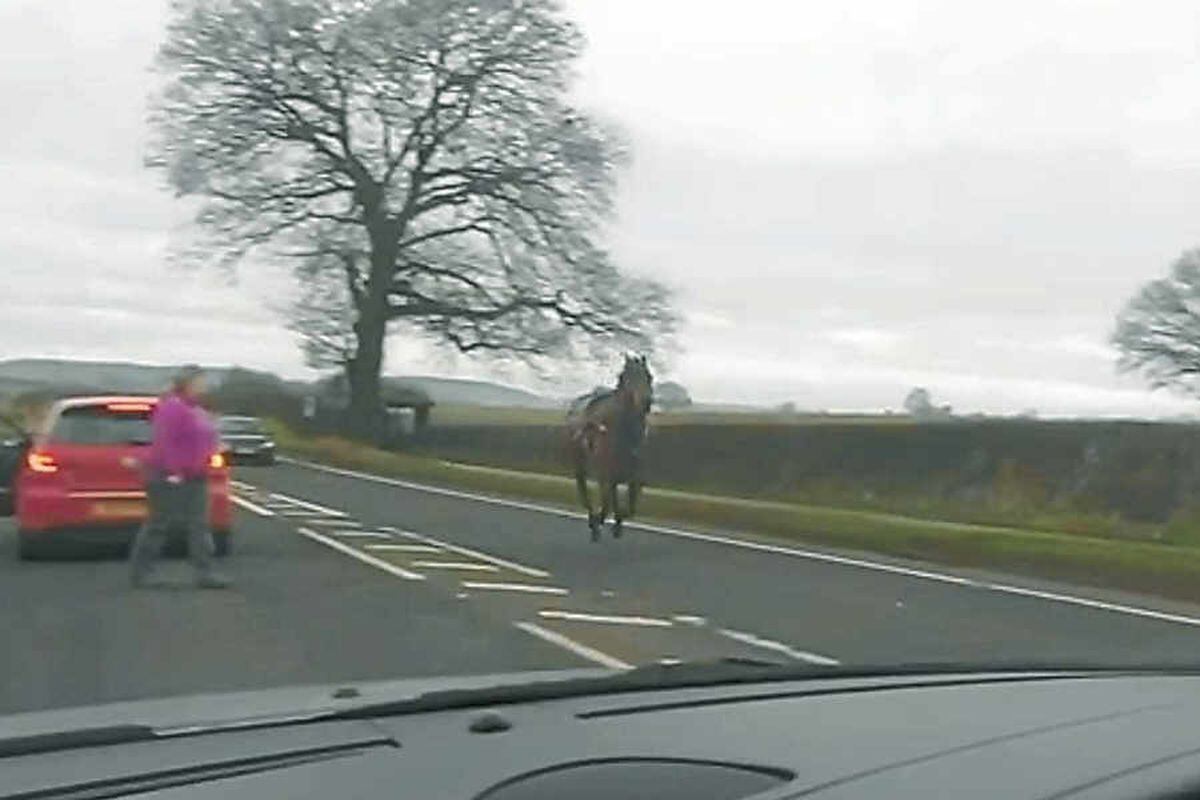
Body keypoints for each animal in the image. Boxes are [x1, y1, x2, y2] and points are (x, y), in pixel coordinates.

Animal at [564, 357, 652, 542]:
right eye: (626, 377)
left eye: (649, 376)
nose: (646, 402)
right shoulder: (606, 472)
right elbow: (608, 500)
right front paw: (601, 521)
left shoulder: (634, 475)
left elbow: (631, 504)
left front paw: (617, 523)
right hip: (580, 466)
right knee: (586, 493)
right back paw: (594, 521)